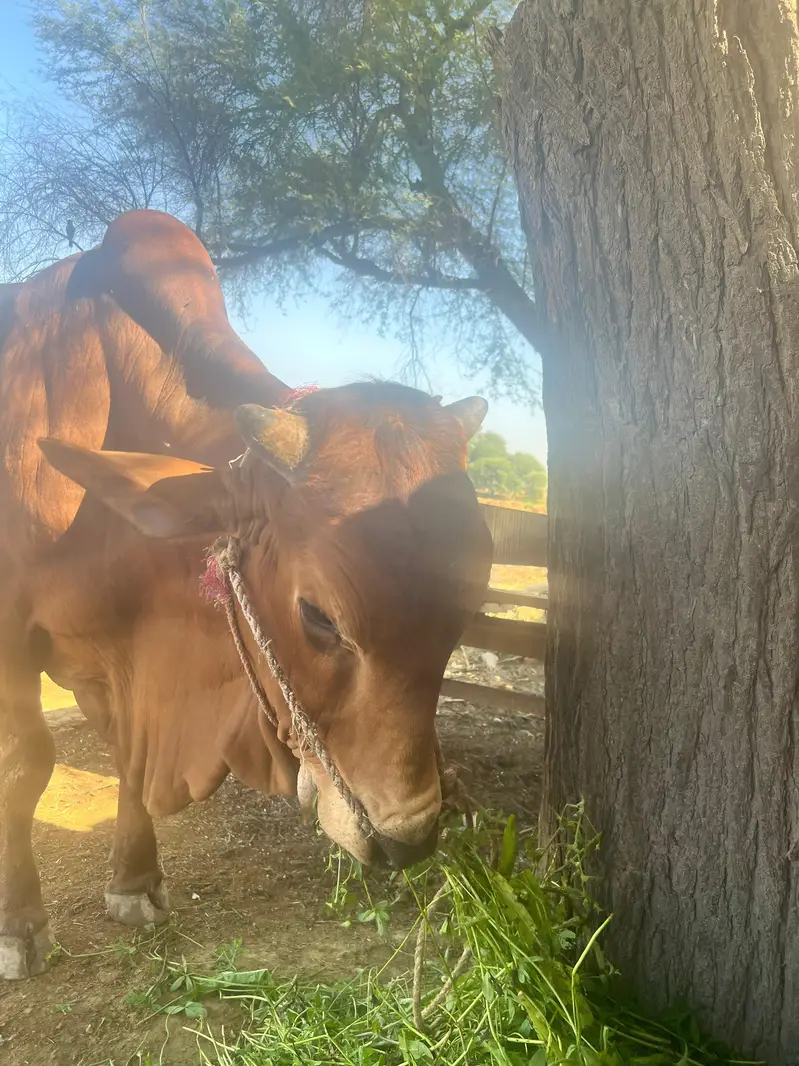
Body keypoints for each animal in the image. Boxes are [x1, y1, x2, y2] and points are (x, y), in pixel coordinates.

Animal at [0, 210, 493, 980]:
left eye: (463, 615)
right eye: (318, 617)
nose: (408, 839)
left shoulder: (121, 660)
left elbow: (127, 759)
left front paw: (134, 881)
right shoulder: (11, 633)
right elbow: (26, 765)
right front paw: (19, 924)